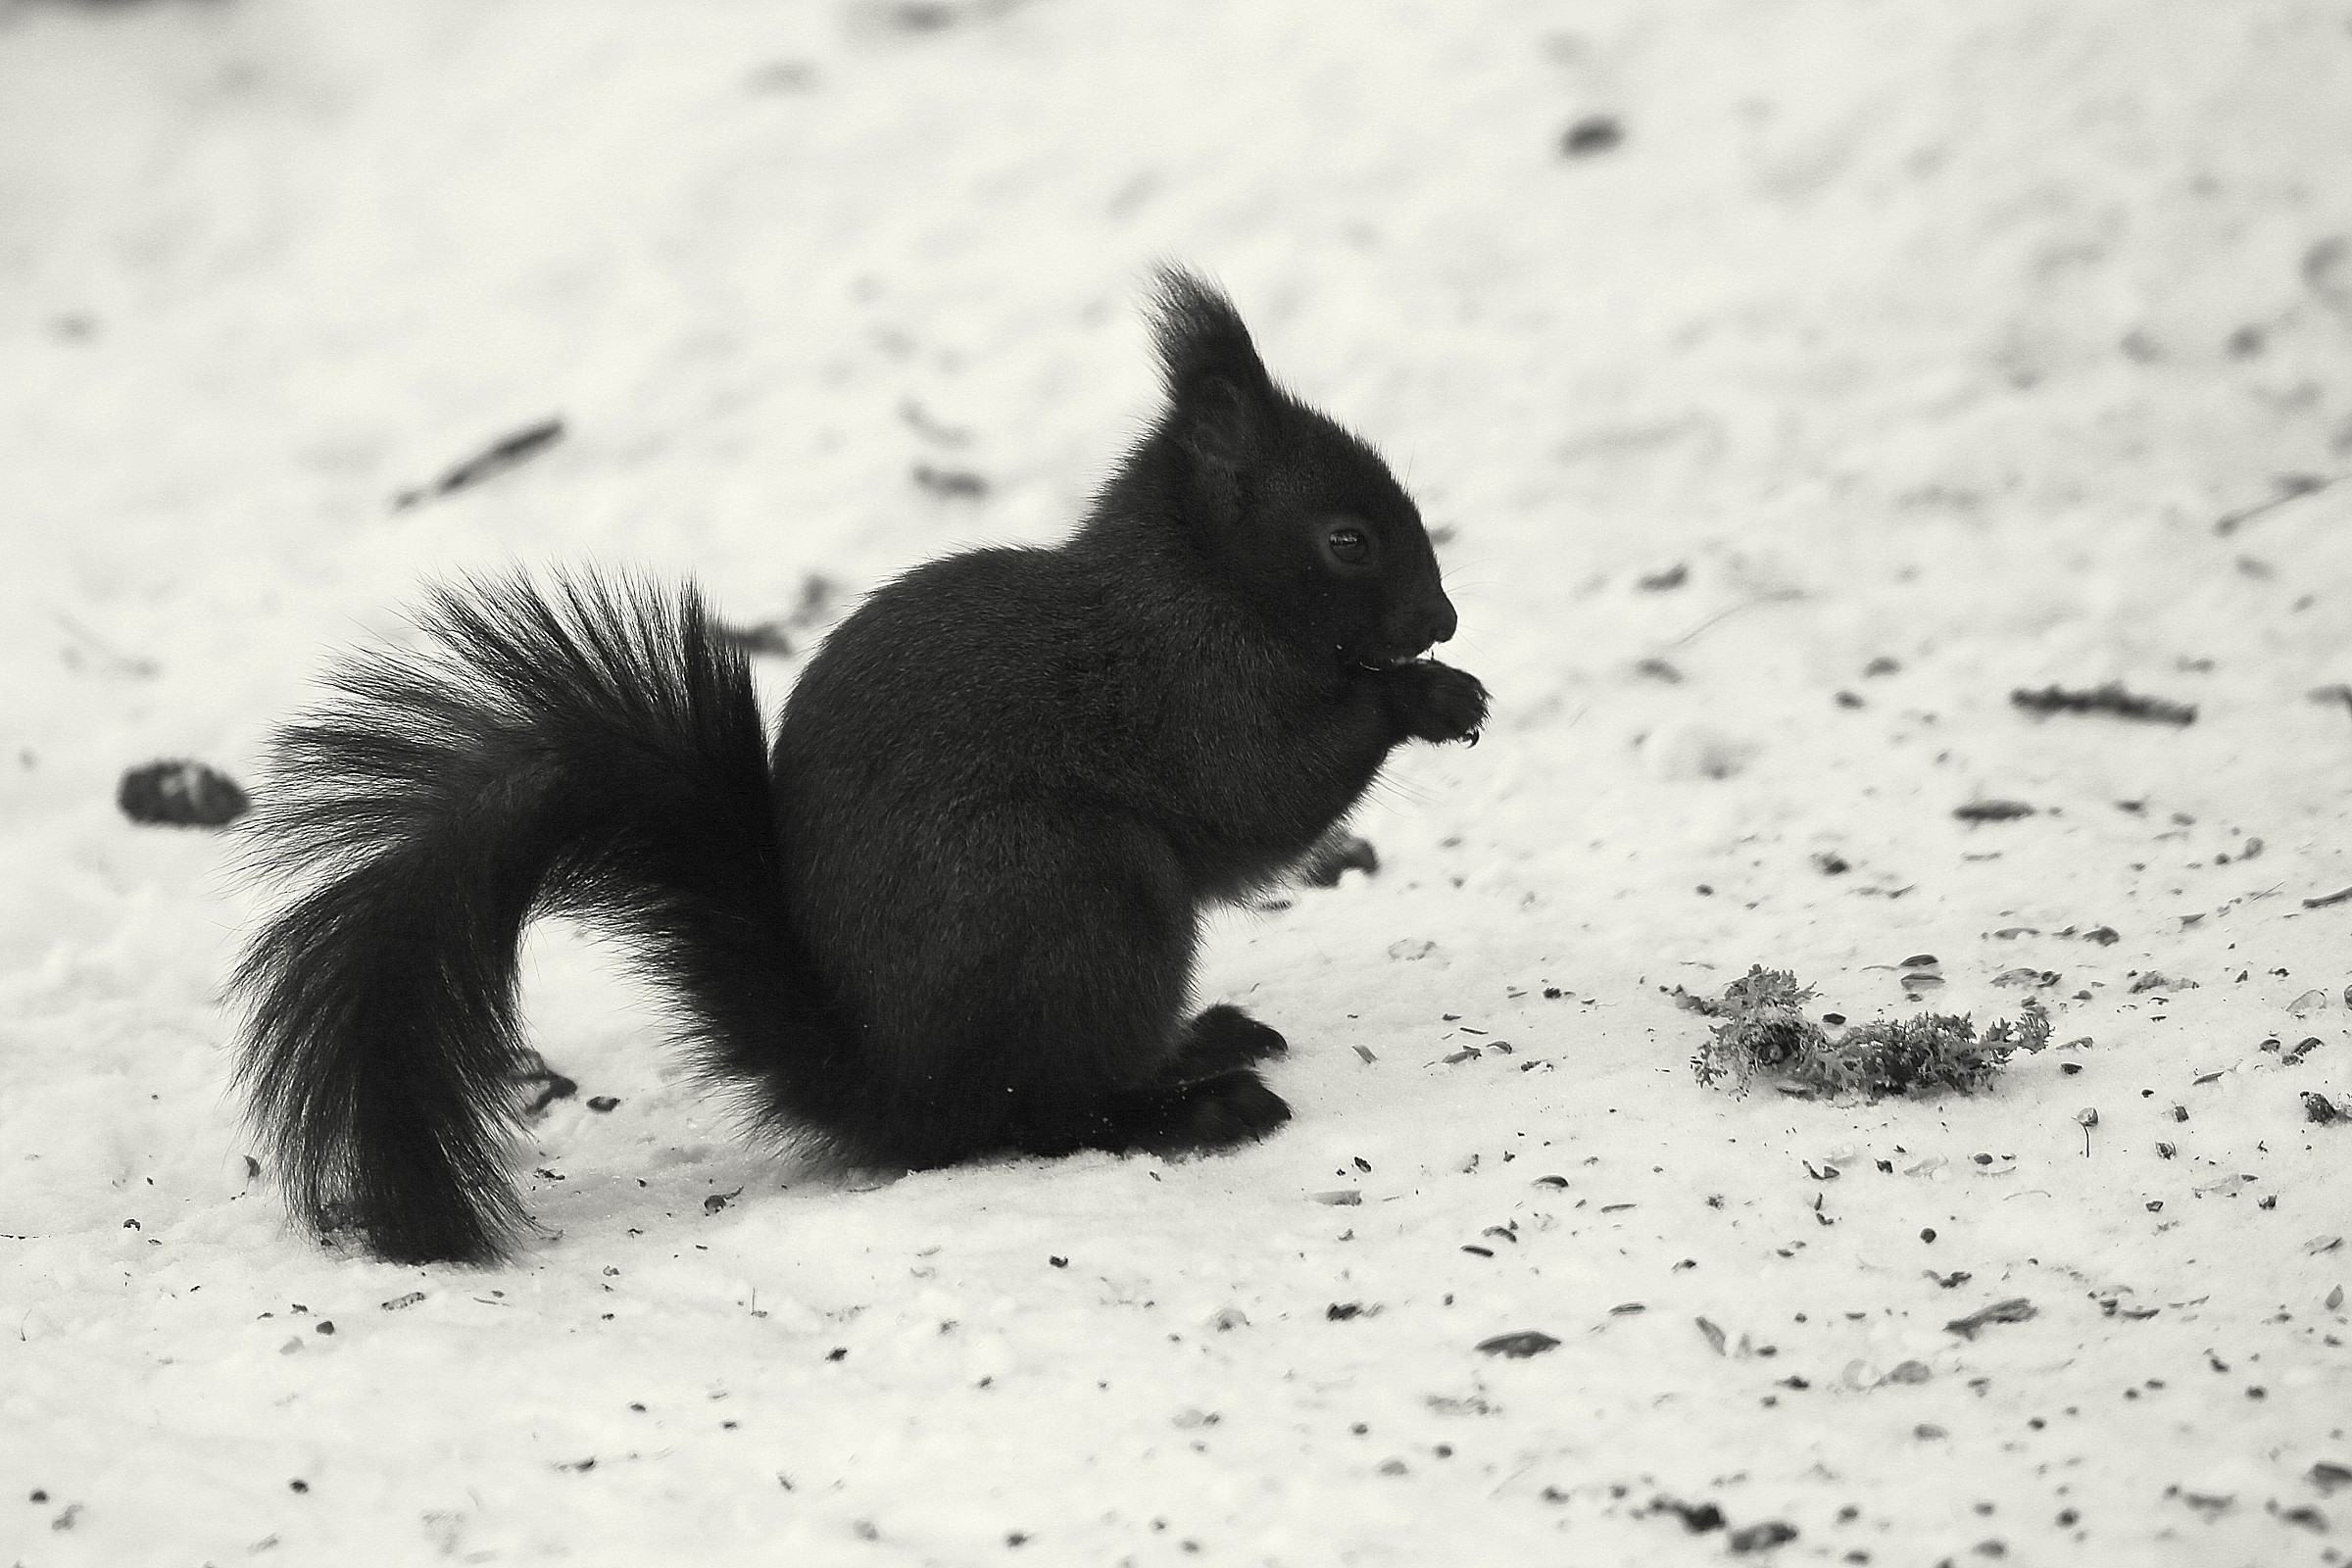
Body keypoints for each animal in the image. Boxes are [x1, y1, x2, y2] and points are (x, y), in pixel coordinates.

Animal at [233, 268, 1487, 1264]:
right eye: (1348, 539)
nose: (1443, 619)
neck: (1199, 584)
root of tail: (895, 1086)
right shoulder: (1191, 695)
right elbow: (1263, 792)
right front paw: (1424, 698)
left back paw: (1206, 1041)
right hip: (1085, 894)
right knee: (1042, 1115)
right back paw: (1196, 1108)